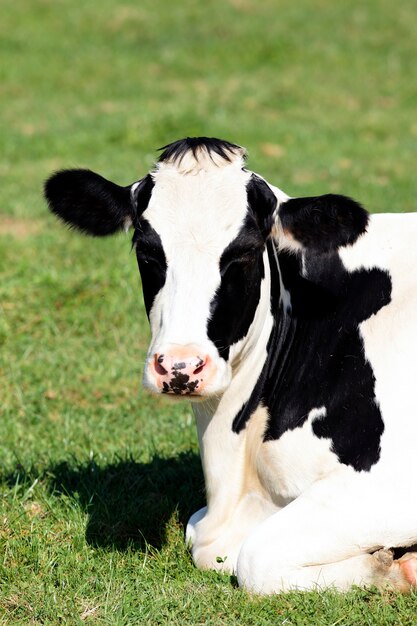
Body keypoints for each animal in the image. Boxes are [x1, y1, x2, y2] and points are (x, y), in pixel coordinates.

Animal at [44, 135, 416, 588]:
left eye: (245, 253)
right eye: (146, 250)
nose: (180, 367)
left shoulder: (389, 484)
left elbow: (254, 559)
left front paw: (392, 567)